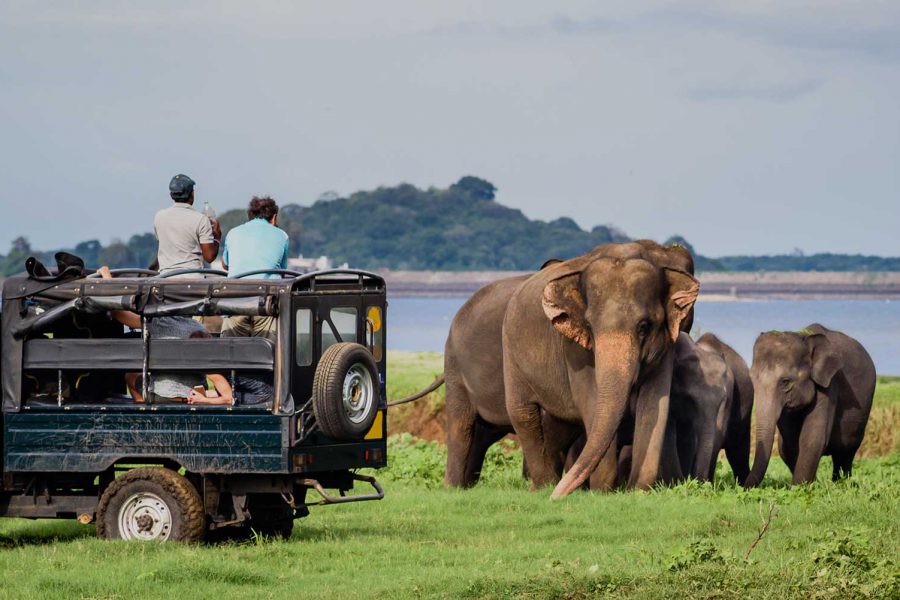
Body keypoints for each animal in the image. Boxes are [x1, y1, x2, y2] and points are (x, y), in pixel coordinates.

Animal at [744, 324, 872, 488]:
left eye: (785, 382)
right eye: (752, 379)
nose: (742, 486)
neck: (803, 337)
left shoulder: (829, 384)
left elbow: (812, 437)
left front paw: (800, 488)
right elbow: (789, 445)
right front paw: (809, 485)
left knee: (845, 452)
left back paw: (841, 483)